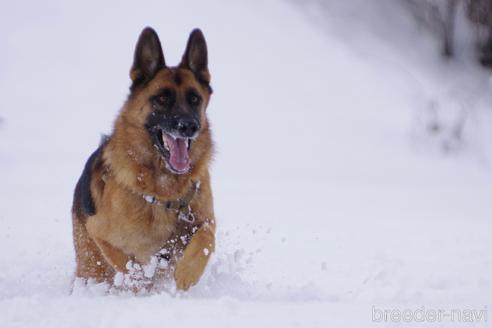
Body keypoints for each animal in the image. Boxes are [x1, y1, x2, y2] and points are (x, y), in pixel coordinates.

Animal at [71, 26, 215, 290]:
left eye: (195, 99)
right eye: (161, 99)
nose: (189, 126)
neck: (165, 191)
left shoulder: (205, 221)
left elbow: (205, 241)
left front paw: (186, 275)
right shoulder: (100, 232)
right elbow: (130, 267)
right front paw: (140, 281)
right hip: (91, 267)